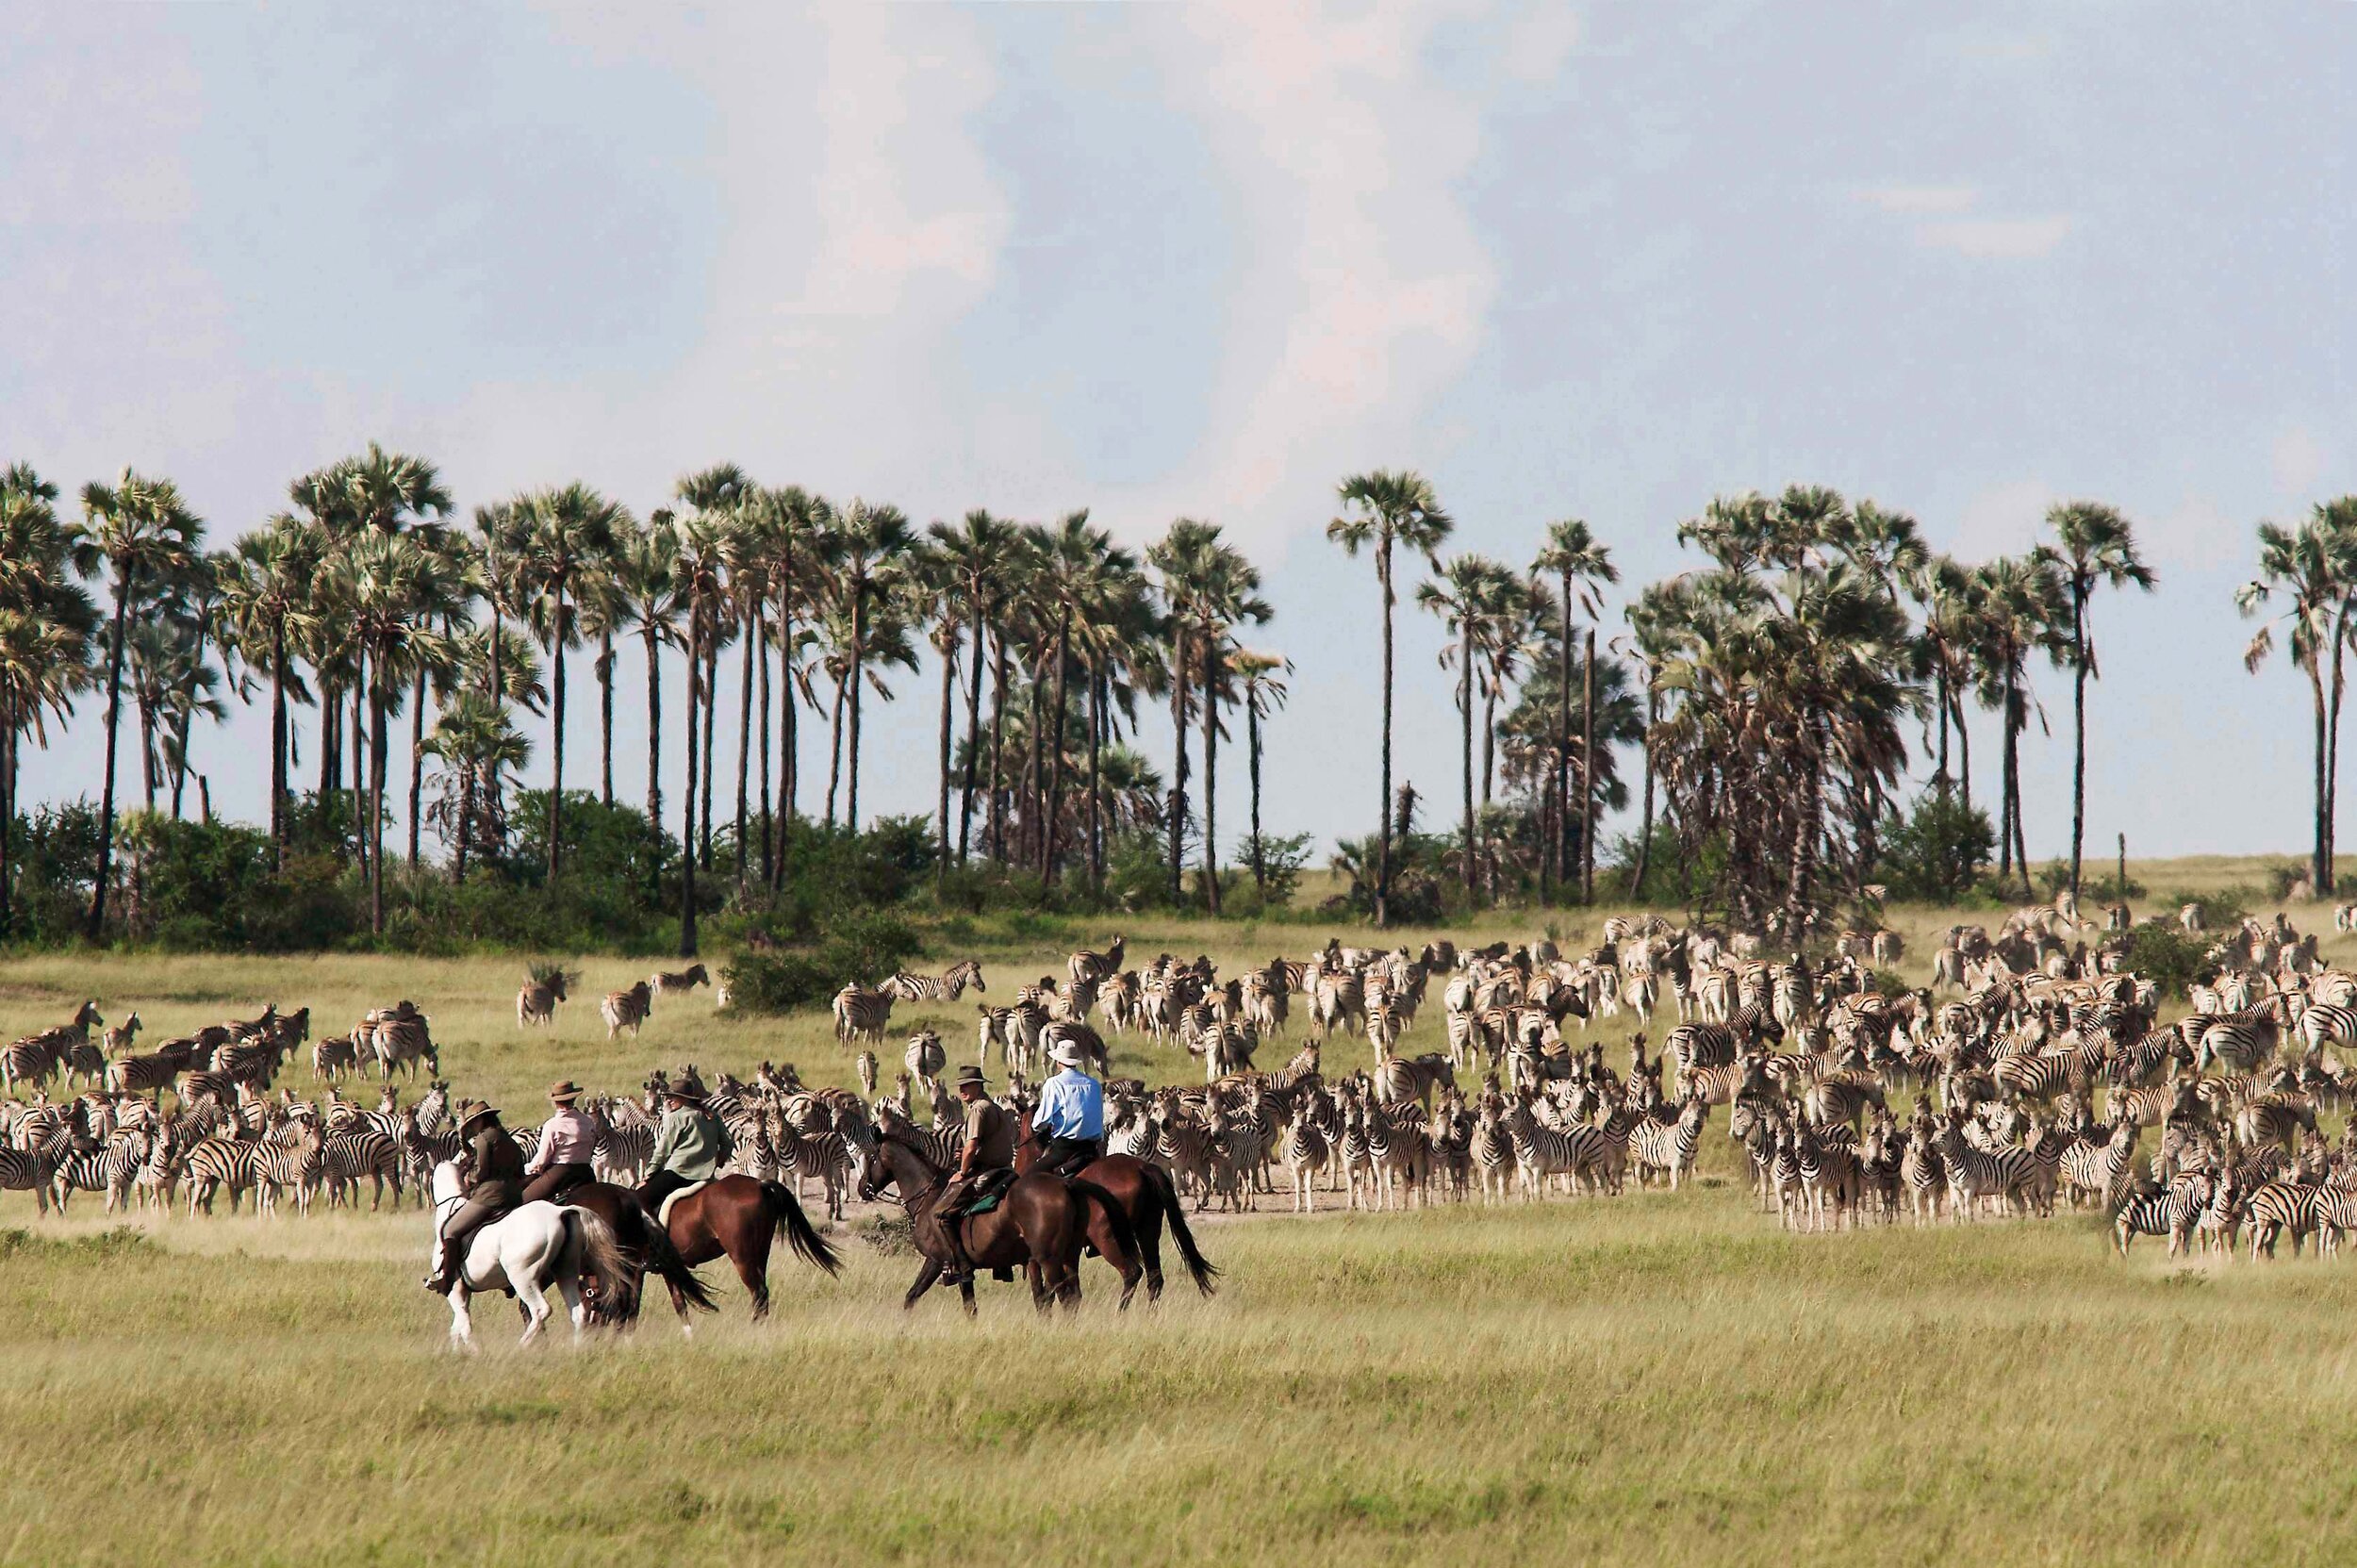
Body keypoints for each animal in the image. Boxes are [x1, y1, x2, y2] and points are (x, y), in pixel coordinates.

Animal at [424, 1160, 627, 1348]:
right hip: (565, 1272)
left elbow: (464, 1326)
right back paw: (576, 1349)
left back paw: (521, 1346)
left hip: (522, 1277)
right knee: (578, 1313)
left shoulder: (455, 1290)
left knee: (540, 1310)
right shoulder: (463, 1291)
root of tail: (560, 1212)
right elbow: (456, 1328)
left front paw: (474, 1352)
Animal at [858, 1117, 1141, 1311]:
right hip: (1070, 1254)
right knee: (1075, 1295)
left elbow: (912, 1296)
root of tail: (1066, 1184)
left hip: (1058, 1255)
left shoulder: (937, 1261)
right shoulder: (963, 1273)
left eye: (871, 1156)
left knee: (1083, 1289)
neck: (928, 1199)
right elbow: (969, 1307)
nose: (862, 1187)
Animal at [1009, 1117, 1216, 1301]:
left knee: (1132, 1273)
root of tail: (1142, 1168)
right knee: (1154, 1278)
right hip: (1147, 1231)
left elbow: (1041, 1294)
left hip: (1108, 1239)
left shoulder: (1035, 1258)